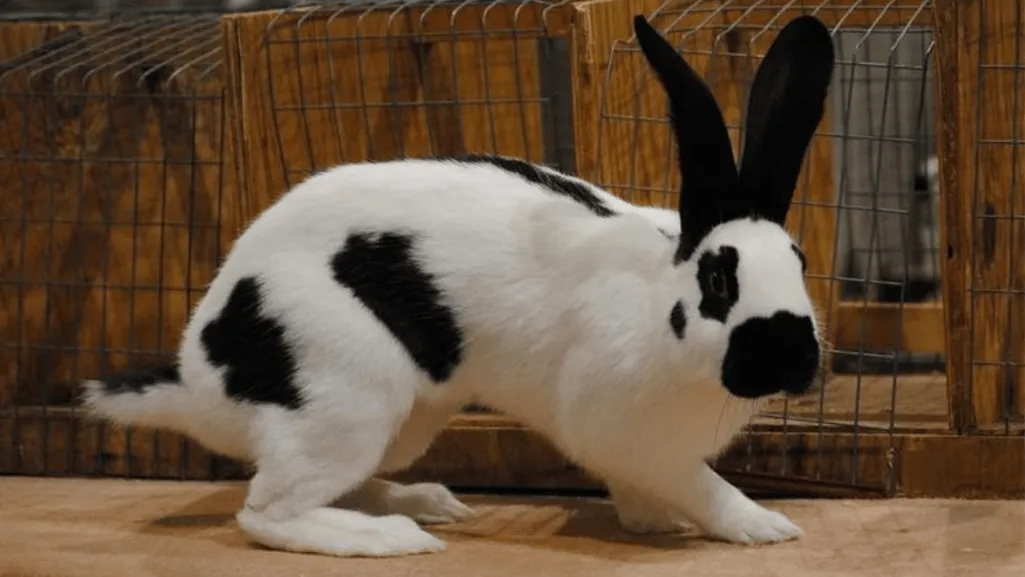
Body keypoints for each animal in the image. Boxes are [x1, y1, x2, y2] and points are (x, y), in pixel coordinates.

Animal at [81, 13, 835, 558]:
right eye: (718, 277)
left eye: (799, 261)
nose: (792, 356)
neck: (658, 305)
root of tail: (200, 378)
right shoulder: (628, 432)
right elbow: (698, 484)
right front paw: (761, 525)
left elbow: (642, 490)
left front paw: (652, 522)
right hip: (345, 396)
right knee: (265, 512)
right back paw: (392, 538)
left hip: (401, 420)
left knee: (323, 484)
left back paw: (426, 502)